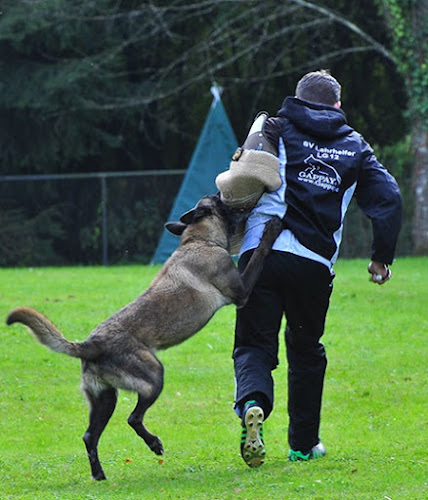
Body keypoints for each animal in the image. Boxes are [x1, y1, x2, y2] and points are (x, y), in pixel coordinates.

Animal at [7, 194, 284, 480]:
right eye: (219, 199)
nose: (231, 198)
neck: (199, 239)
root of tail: (89, 345)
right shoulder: (242, 291)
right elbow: (260, 253)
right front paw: (271, 230)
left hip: (105, 398)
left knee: (89, 436)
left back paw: (100, 475)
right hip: (153, 376)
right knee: (133, 418)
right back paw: (153, 444)